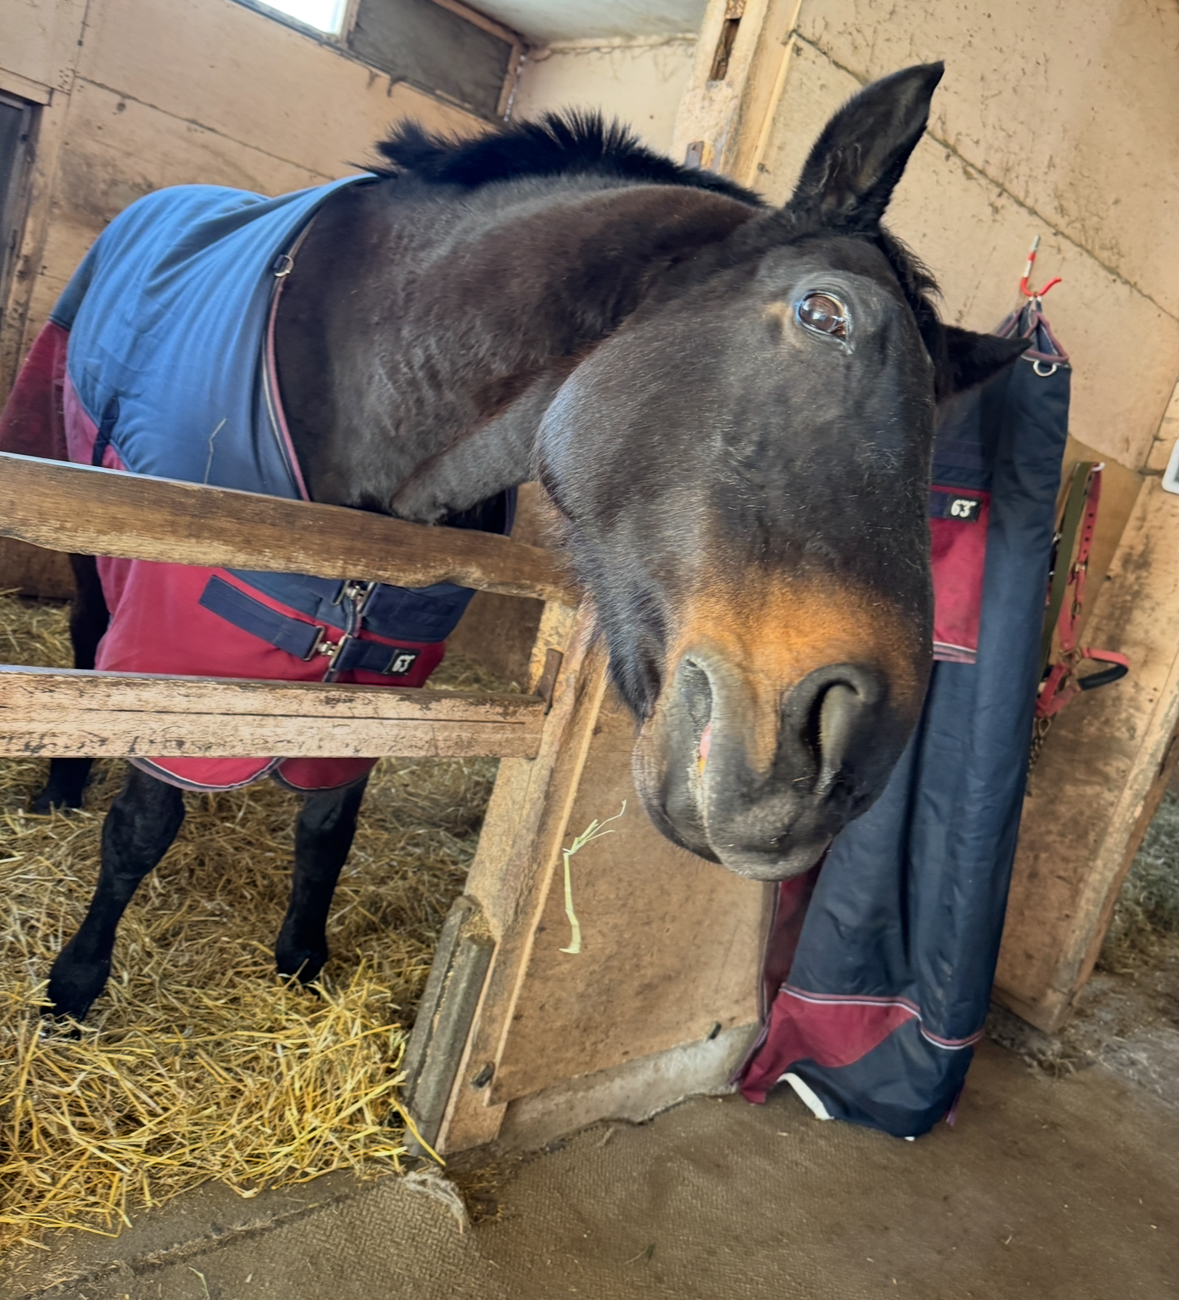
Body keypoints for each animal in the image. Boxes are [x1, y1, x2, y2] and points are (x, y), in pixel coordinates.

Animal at [5, 62, 1026, 1022]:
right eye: (824, 313)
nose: (844, 760)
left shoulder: (383, 668)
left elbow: (328, 822)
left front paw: (301, 961)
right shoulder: (176, 641)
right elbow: (144, 821)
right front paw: (76, 986)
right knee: (87, 641)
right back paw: (60, 788)